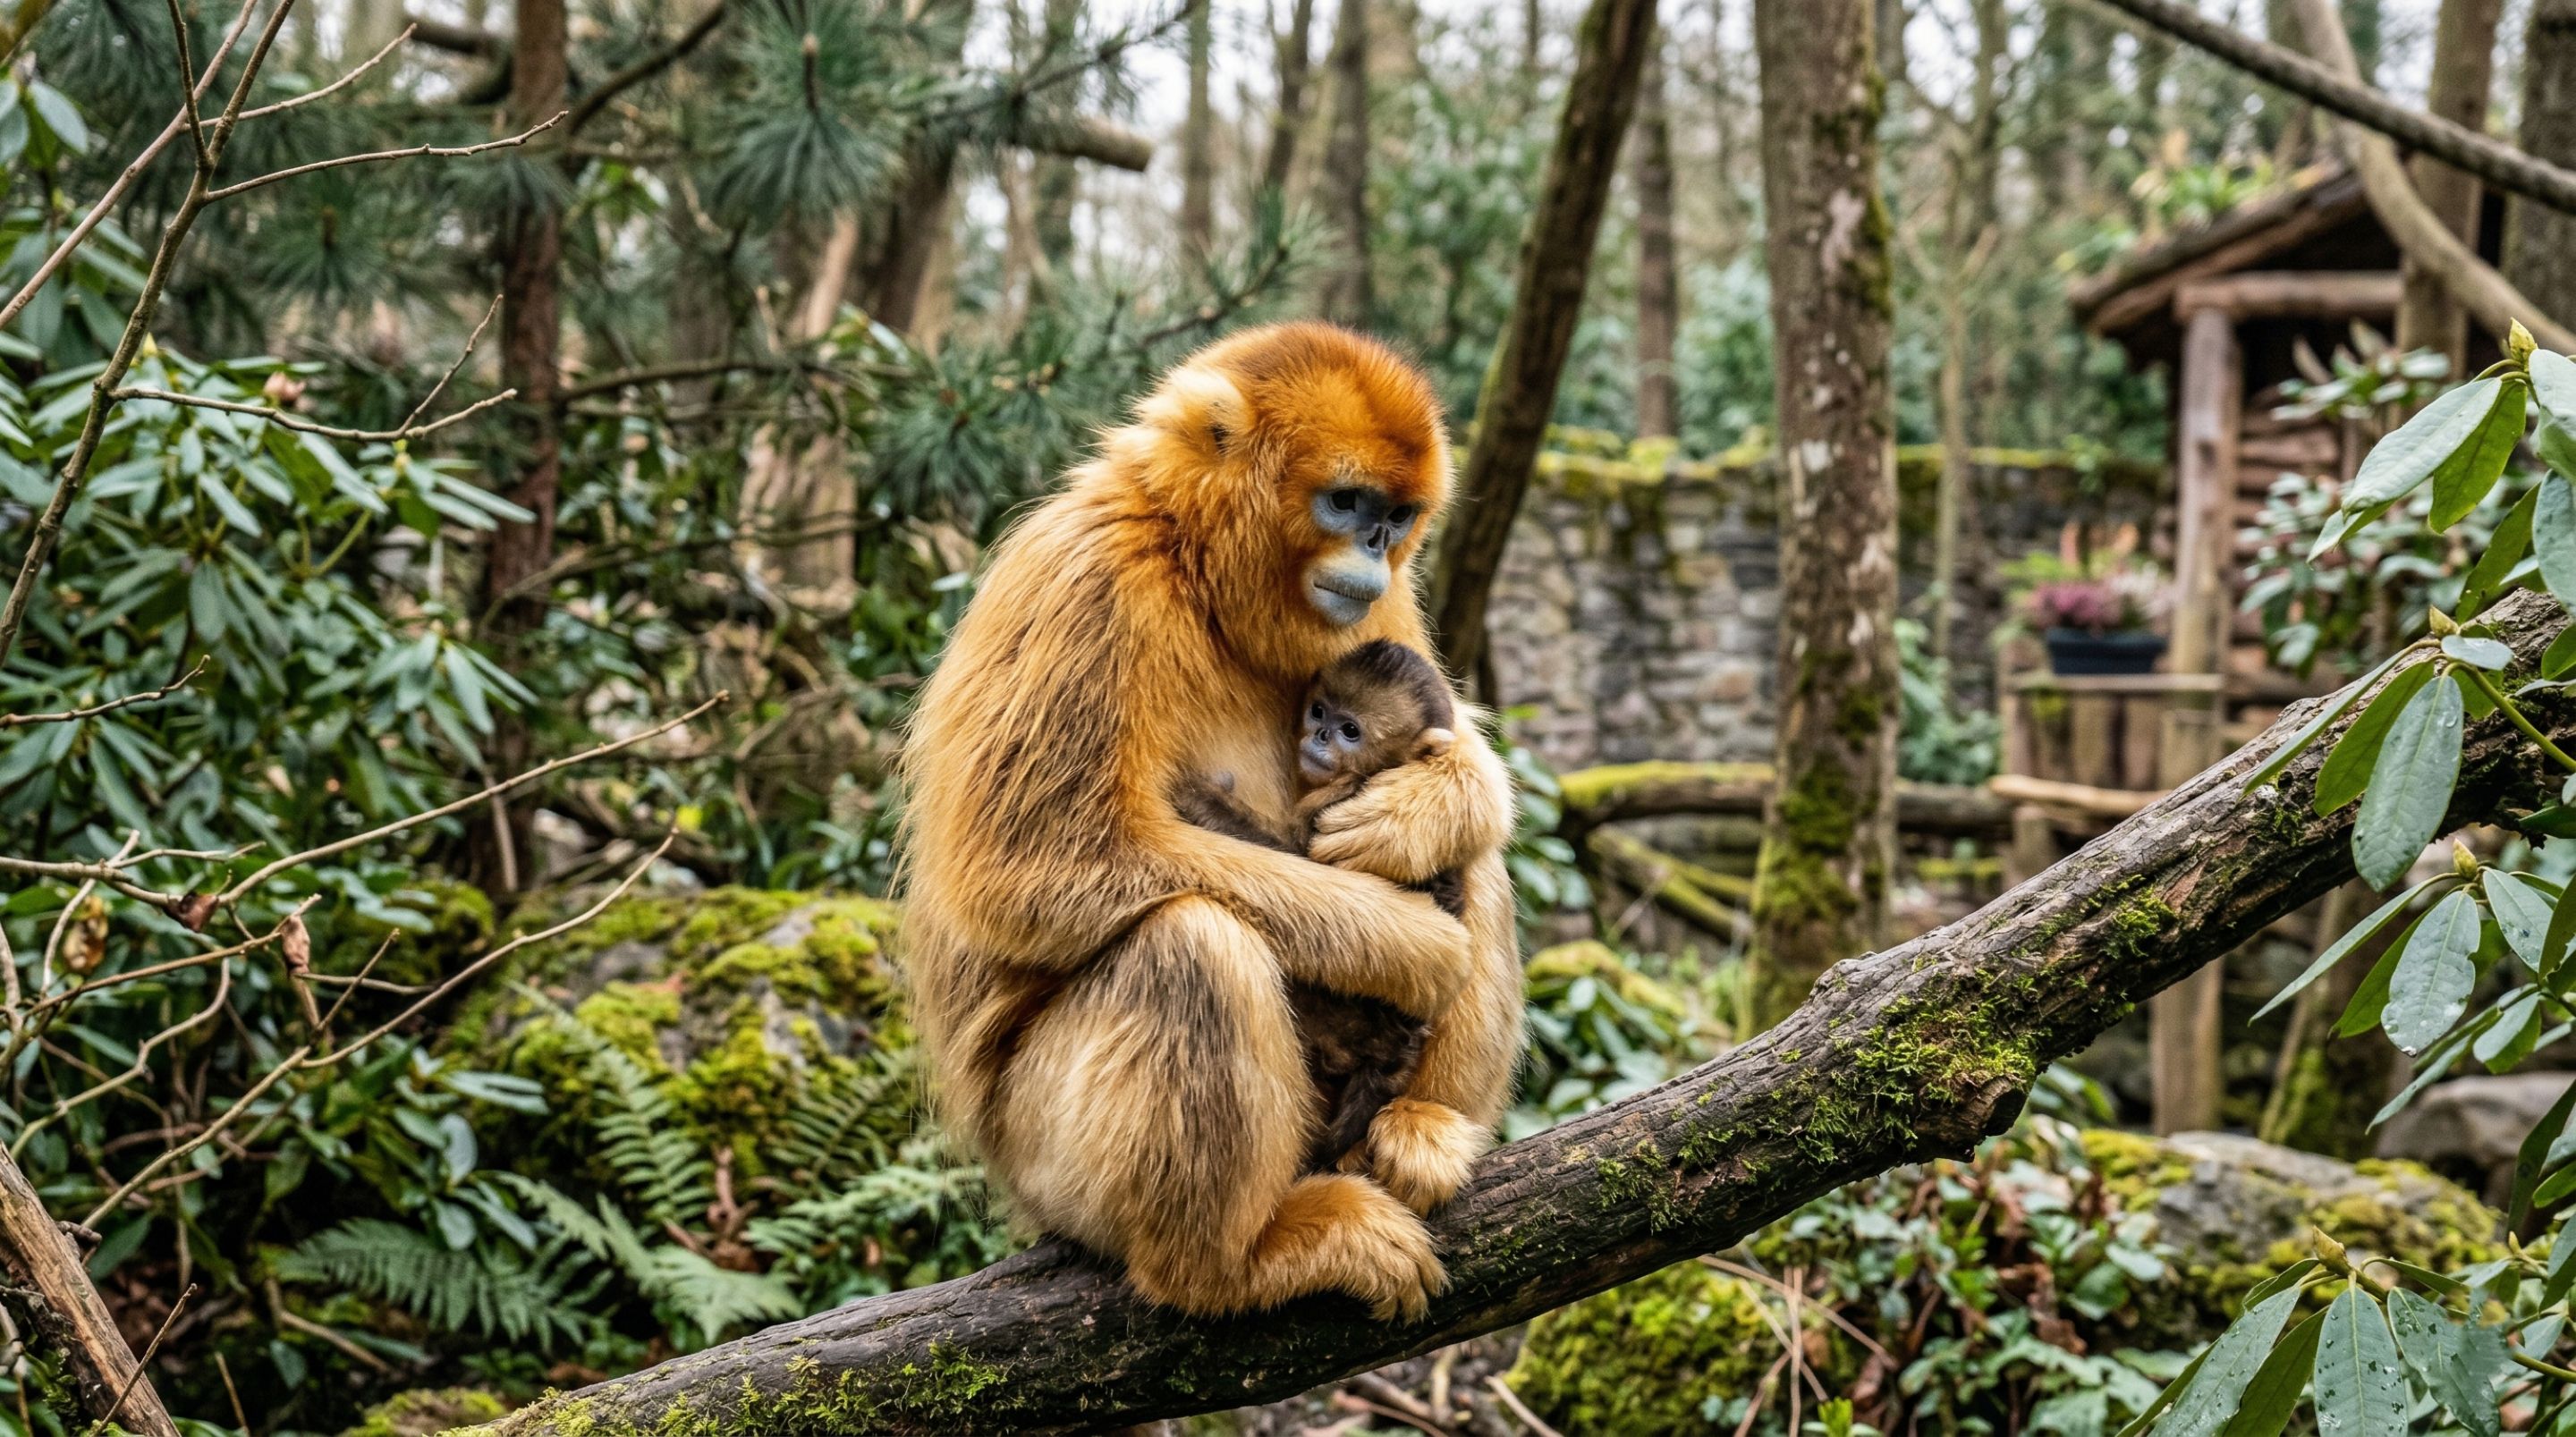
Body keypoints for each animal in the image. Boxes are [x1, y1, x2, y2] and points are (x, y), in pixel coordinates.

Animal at [899, 323, 1526, 1321]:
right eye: (1347, 503)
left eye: (1395, 518)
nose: (1376, 547)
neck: (1198, 576)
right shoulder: (1086, 573)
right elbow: (1026, 870)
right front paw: (1408, 942)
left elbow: (1453, 758)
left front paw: (1418, 811)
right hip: (1049, 1161)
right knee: (1191, 940)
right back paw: (1232, 1263)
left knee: (1480, 864)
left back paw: (1419, 1122)